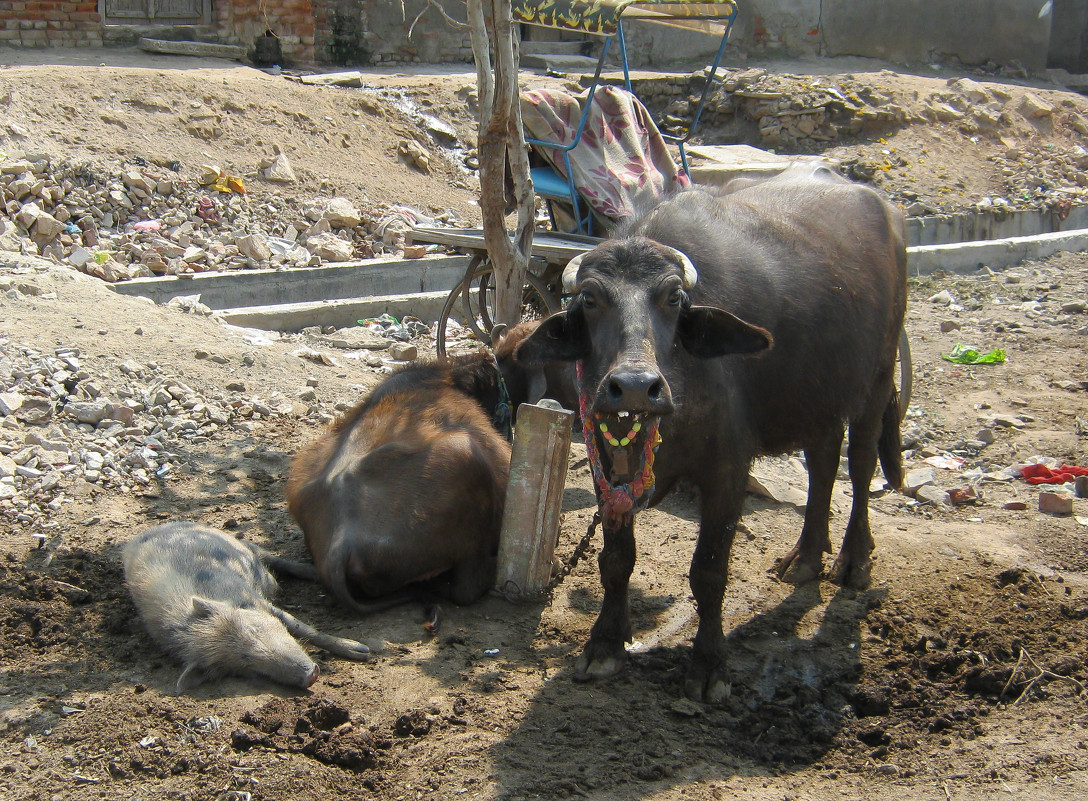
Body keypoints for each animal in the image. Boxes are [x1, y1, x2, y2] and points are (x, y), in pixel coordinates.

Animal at [122, 522, 369, 692]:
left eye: (254, 631)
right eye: (244, 662)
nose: (312, 675)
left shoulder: (255, 600)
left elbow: (302, 628)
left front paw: (362, 651)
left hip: (240, 543)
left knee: (271, 557)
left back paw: (313, 574)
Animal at [513, 164, 905, 700]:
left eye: (674, 298)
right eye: (590, 299)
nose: (635, 386)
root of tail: (884, 207)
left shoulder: (728, 471)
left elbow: (710, 571)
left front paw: (708, 666)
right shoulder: (605, 474)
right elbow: (616, 561)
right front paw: (605, 644)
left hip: (876, 379)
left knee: (861, 464)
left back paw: (853, 560)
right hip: (816, 399)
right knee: (824, 462)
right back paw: (806, 557)